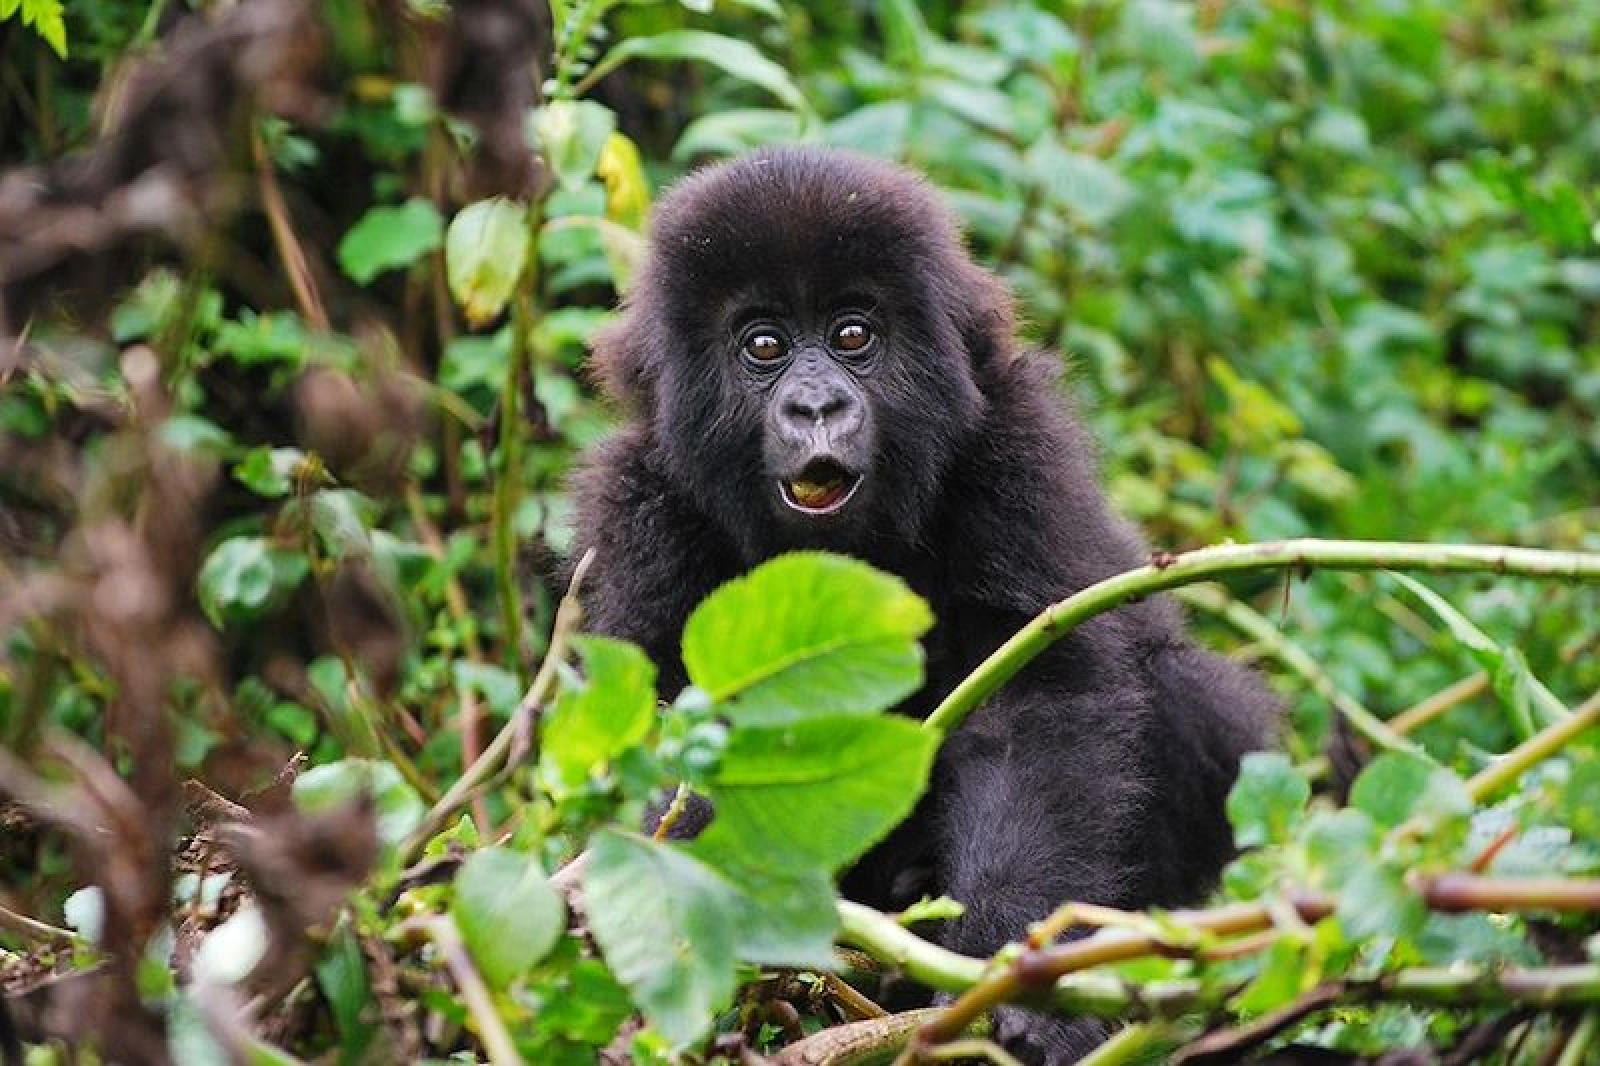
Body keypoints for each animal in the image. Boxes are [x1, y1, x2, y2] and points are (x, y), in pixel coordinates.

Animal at [567, 147, 1277, 1063]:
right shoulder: (639, 508)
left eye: (852, 336)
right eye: (764, 345)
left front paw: (1022, 982)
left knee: (1191, 697)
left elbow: (1035, 706)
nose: (817, 406)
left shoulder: (1015, 448)